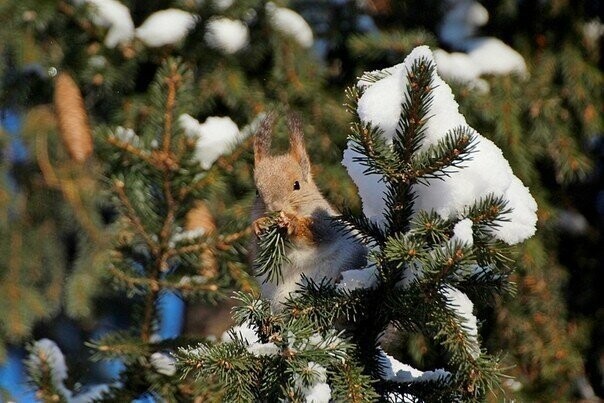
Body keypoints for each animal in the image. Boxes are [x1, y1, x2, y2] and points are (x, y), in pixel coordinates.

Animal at [251, 113, 368, 310]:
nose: (275, 209)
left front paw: (292, 223)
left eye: (296, 185)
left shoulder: (326, 224)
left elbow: (315, 235)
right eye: (257, 192)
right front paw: (258, 225)